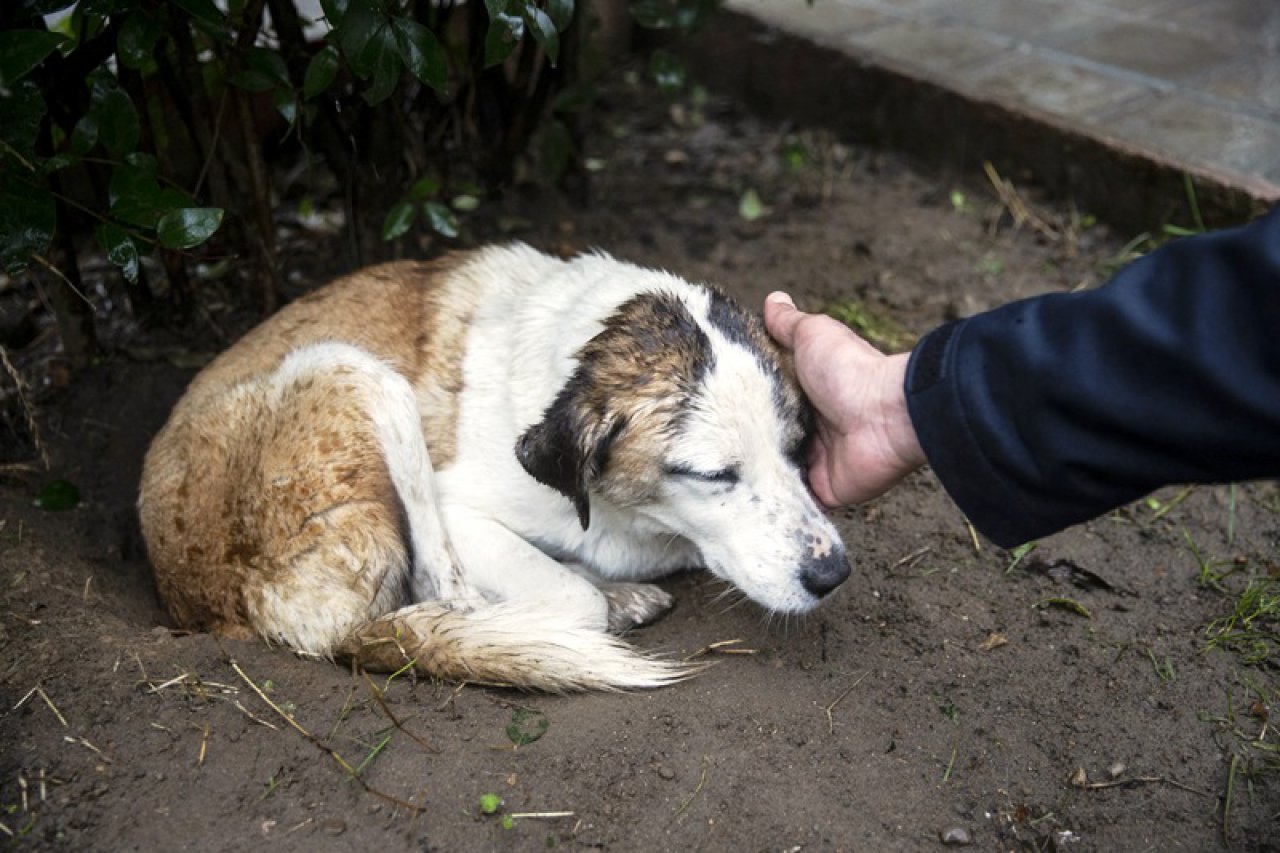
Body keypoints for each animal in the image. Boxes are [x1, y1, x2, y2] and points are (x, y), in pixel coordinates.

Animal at [140, 242, 849, 686]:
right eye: (711, 475)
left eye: (798, 448)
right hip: (354, 369)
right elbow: (570, 599)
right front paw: (592, 593)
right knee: (443, 593)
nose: (833, 574)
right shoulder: (462, 513)